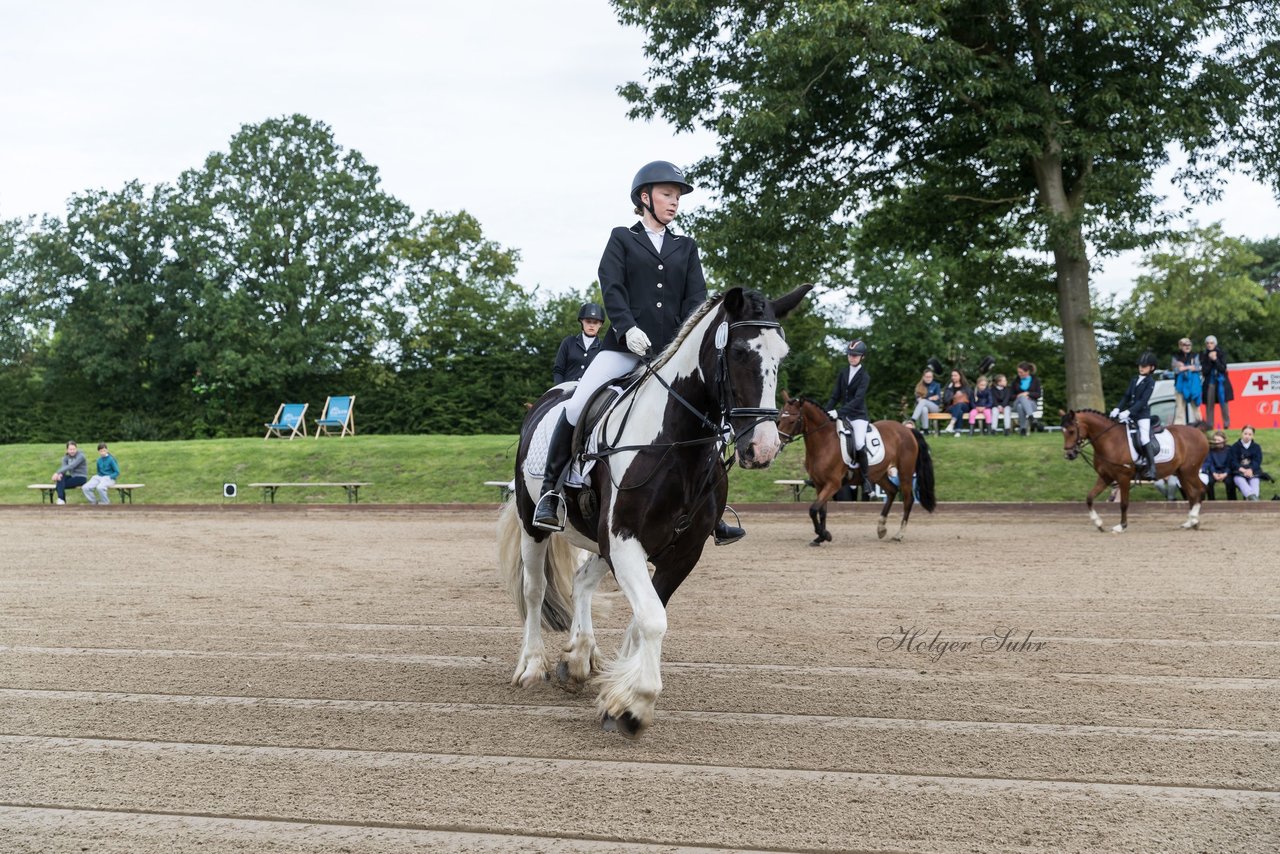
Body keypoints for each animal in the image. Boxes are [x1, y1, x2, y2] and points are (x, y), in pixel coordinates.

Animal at [494, 285, 803, 737]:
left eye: (782, 354)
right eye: (740, 352)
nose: (763, 448)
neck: (675, 445)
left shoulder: (682, 552)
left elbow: (645, 618)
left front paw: (619, 694)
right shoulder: (624, 541)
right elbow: (653, 620)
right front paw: (635, 704)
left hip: (600, 542)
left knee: (582, 583)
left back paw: (579, 659)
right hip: (535, 523)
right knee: (535, 590)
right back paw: (532, 666)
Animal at [773, 396, 936, 547]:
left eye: (792, 421)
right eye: (779, 419)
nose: (778, 443)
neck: (823, 442)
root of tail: (907, 430)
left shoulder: (833, 484)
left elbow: (813, 509)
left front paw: (825, 535)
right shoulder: (820, 484)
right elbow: (821, 511)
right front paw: (820, 537)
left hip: (905, 473)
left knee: (908, 499)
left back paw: (898, 534)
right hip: (879, 475)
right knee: (892, 491)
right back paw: (881, 528)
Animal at [1059, 409, 1208, 535]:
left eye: (1071, 431)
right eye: (1062, 431)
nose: (1069, 455)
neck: (1110, 441)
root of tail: (1198, 432)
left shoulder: (1123, 477)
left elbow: (1124, 504)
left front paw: (1121, 526)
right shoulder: (1105, 477)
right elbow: (1089, 498)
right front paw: (1099, 523)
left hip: (1190, 472)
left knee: (1200, 491)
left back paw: (1194, 518)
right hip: (1182, 474)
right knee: (1192, 495)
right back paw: (1190, 523)